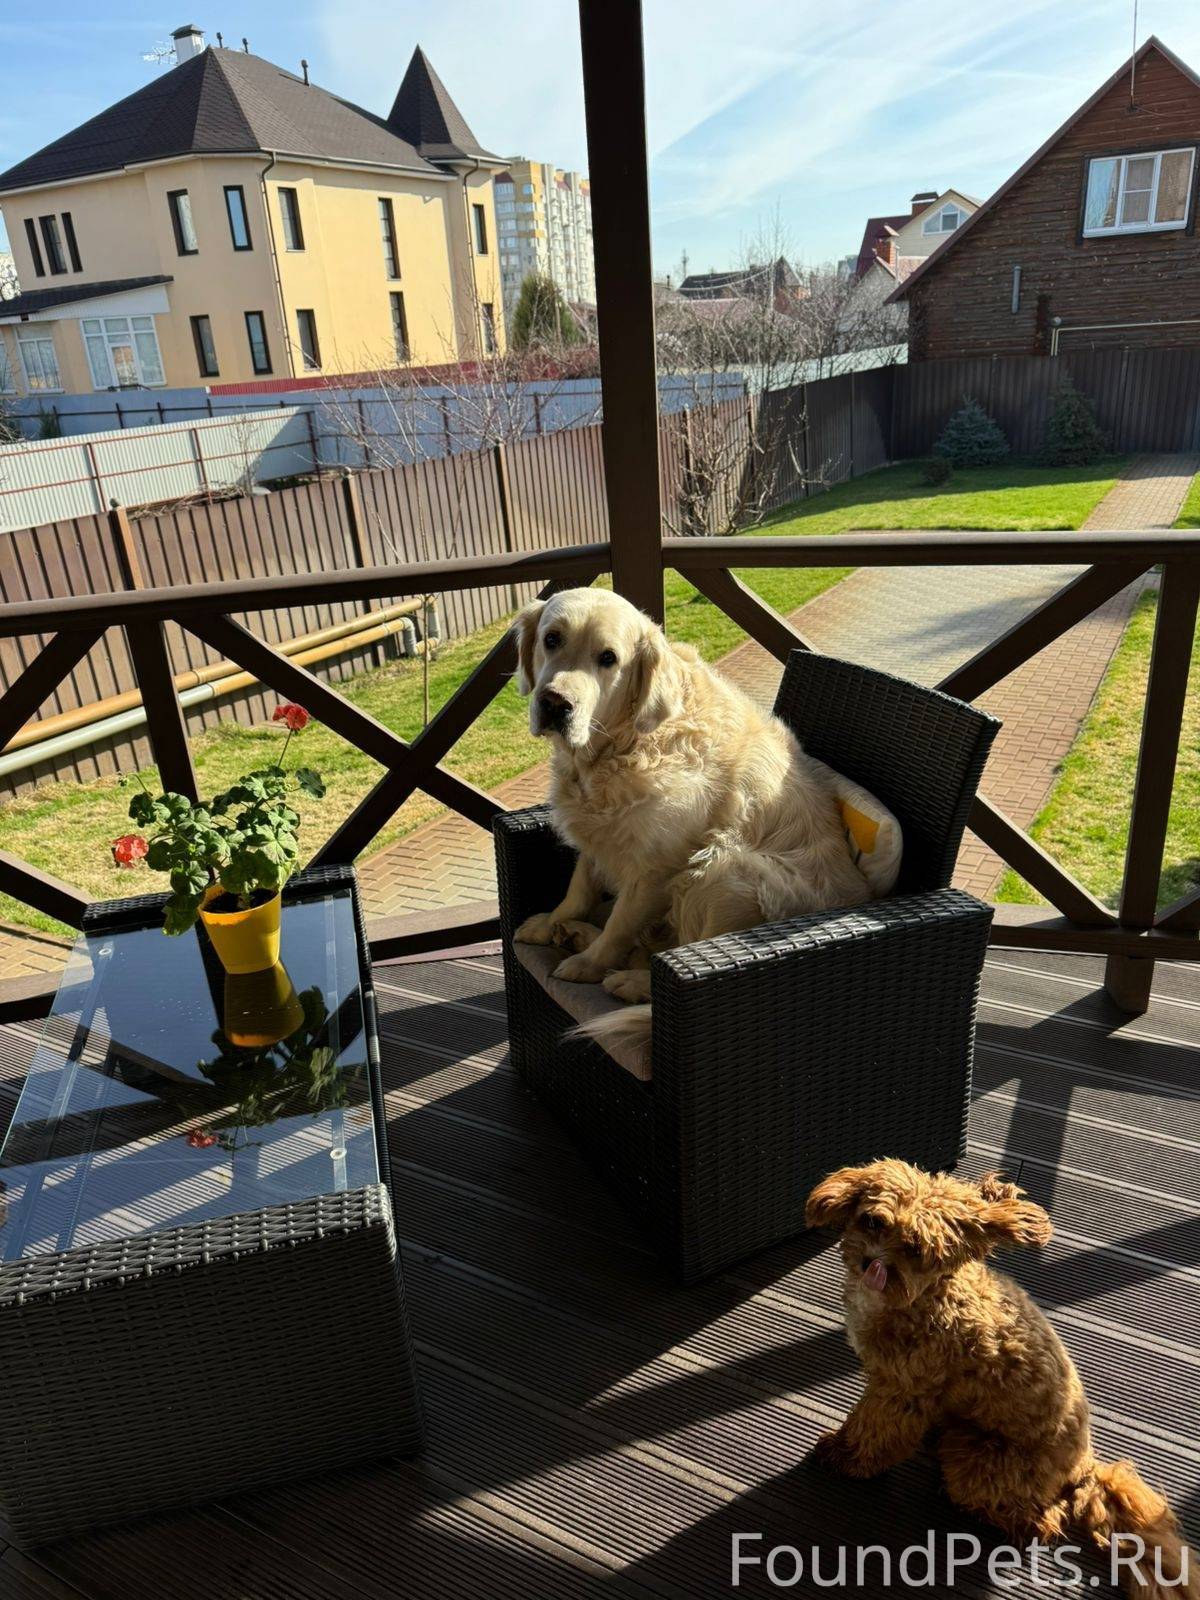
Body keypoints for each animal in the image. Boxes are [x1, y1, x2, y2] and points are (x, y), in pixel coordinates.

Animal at [511, 587, 871, 1052]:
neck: (624, 744)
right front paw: (553, 923)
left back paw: (626, 980)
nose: (555, 704)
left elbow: (621, 924)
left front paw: (590, 964)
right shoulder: (601, 835)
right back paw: (575, 933)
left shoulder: (656, 869)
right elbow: (580, 890)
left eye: (608, 658)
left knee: (667, 950)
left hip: (723, 868)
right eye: (551, 639)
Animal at [807, 1160, 1195, 1598]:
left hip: (978, 1459)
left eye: (915, 1249)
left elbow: (872, 1429)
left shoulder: (902, 1390)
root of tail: (1084, 1468)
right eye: (873, 1221)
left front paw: (846, 1456)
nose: (870, 1265)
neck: (929, 1296)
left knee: (1041, 1521)